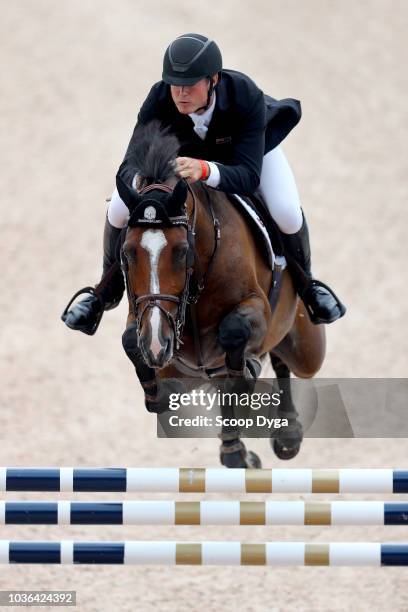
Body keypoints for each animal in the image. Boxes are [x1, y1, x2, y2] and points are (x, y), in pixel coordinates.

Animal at [115, 120, 326, 468]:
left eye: (182, 251)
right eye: (128, 253)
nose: (157, 345)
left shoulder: (256, 306)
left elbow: (235, 331)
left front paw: (246, 372)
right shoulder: (143, 314)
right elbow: (132, 341)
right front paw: (155, 392)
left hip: (307, 350)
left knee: (282, 359)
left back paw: (285, 435)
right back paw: (236, 452)